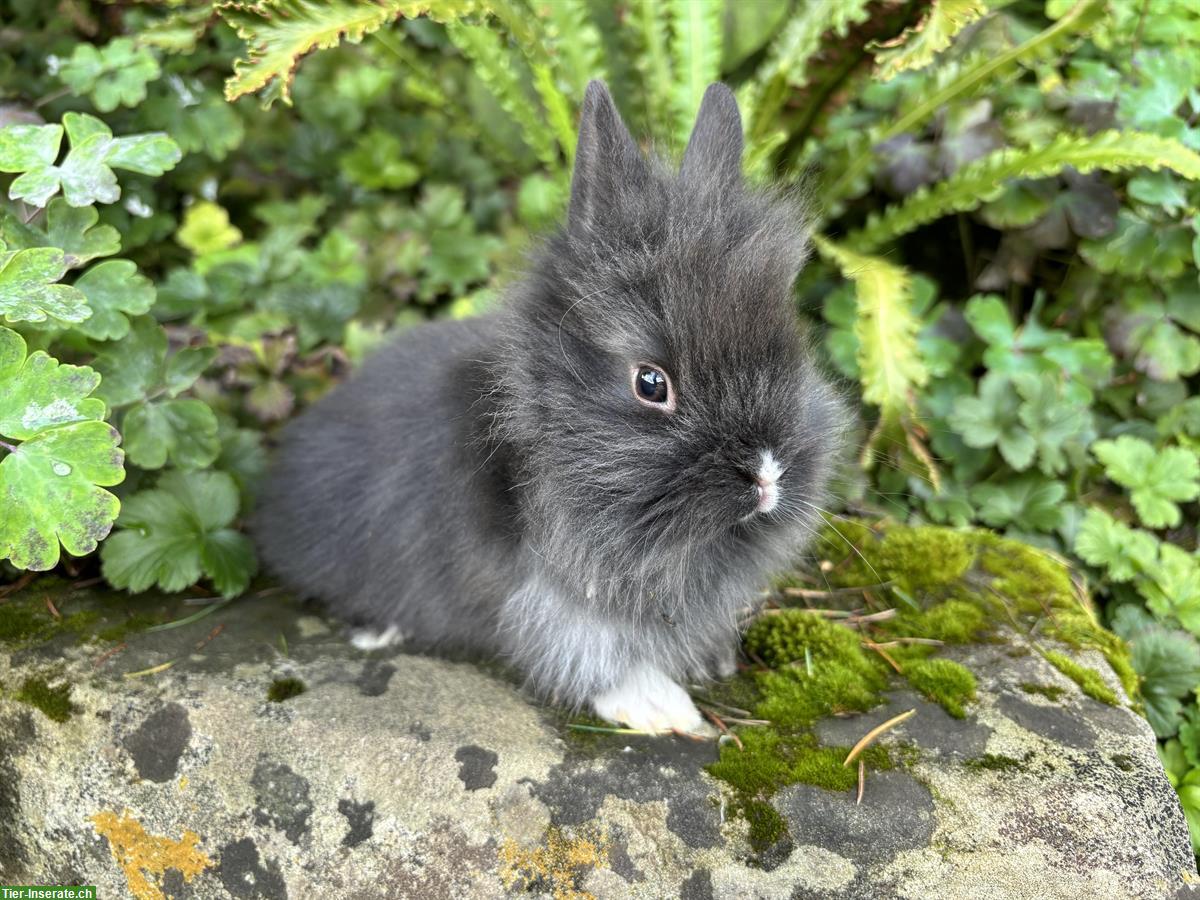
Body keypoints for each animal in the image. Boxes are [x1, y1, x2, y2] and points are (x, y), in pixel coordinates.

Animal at [255, 81, 844, 734]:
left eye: (791, 347)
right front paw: (660, 707)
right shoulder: (553, 598)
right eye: (651, 383)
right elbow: (584, 651)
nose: (767, 477)